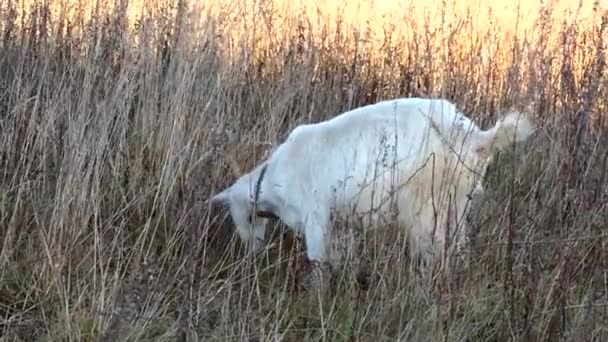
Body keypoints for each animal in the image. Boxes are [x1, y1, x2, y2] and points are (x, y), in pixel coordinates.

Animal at [211, 97, 536, 284]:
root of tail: (472, 136)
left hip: (425, 203)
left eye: (247, 218)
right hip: (456, 201)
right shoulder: (341, 222)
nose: (252, 255)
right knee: (458, 247)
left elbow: (318, 262)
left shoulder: (316, 215)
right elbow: (342, 257)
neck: (275, 176)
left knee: (436, 249)